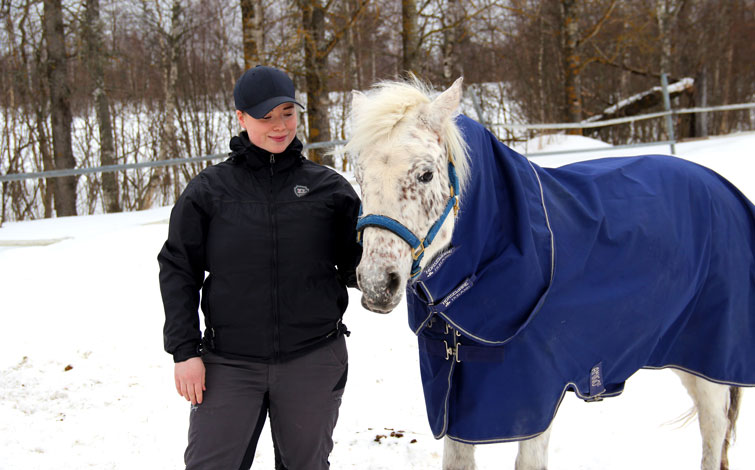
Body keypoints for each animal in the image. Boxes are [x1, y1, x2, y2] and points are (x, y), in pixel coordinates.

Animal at [346, 78, 748, 470]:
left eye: (426, 174)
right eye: (359, 176)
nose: (376, 284)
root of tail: (719, 186)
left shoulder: (535, 400)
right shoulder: (456, 398)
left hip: (711, 358)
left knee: (714, 430)